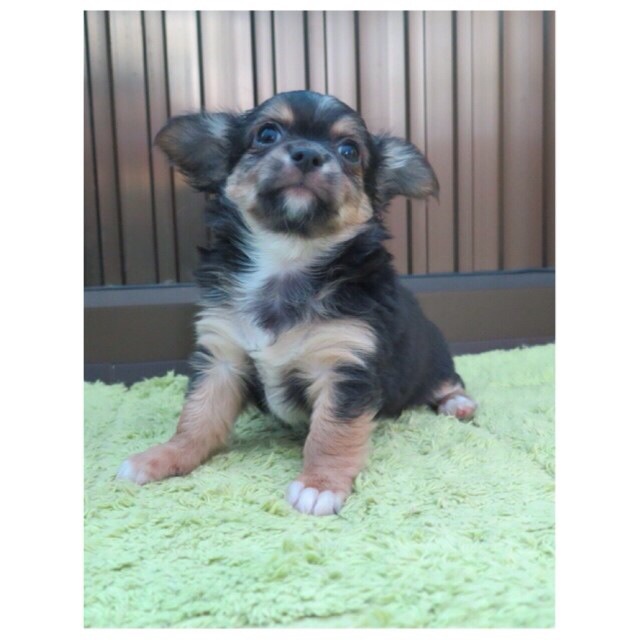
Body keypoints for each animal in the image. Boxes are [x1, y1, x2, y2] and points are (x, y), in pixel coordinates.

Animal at [117, 90, 477, 516]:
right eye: (267, 134)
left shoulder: (345, 367)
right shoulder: (221, 358)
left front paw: (319, 485)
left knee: (446, 382)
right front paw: (163, 457)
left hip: (430, 360)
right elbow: (197, 417)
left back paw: (459, 404)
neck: (287, 258)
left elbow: (332, 432)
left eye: (349, 150)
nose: (307, 154)